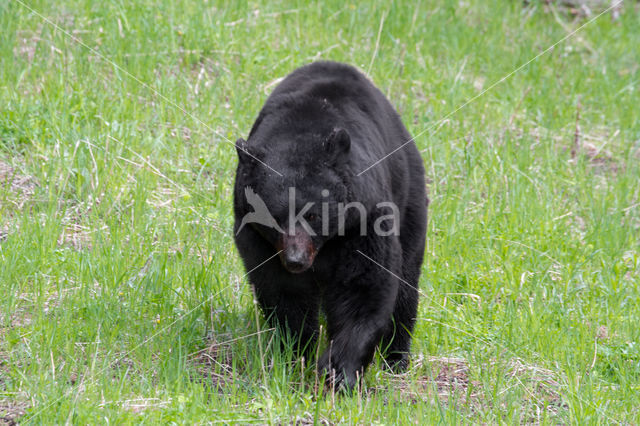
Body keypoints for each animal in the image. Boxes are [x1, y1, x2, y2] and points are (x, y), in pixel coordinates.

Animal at [232, 61, 428, 392]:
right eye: (273, 217)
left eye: (313, 215)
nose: (296, 260)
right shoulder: (257, 239)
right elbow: (282, 293)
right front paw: (295, 355)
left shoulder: (365, 219)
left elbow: (364, 286)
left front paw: (339, 370)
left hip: (410, 201)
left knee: (406, 282)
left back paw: (396, 359)